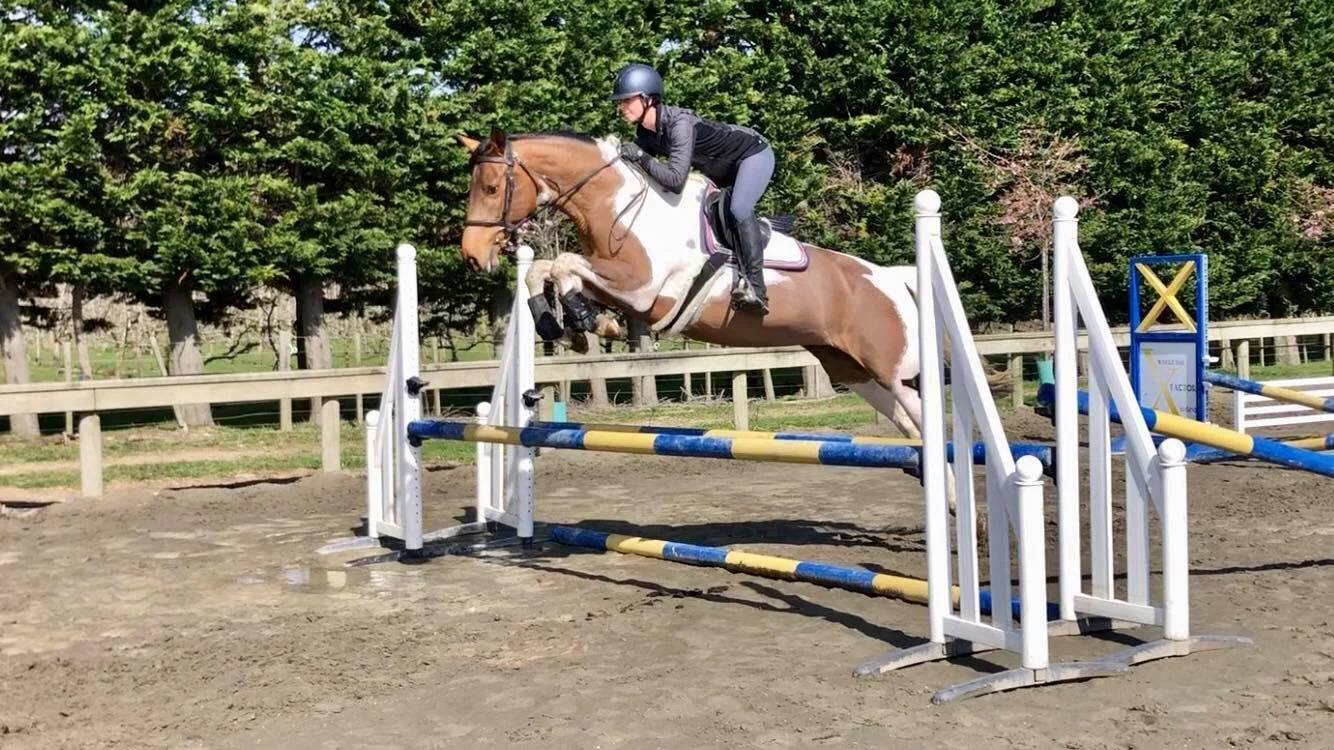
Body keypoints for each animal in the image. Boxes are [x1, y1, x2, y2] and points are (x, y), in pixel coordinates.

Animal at [453, 127, 927, 448]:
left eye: (491, 188)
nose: (472, 255)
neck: (618, 205)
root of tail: (890, 279)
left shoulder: (644, 290)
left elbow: (565, 262)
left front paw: (584, 320)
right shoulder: (616, 283)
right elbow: (543, 269)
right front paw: (574, 326)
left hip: (897, 373)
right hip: (853, 370)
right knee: (911, 428)